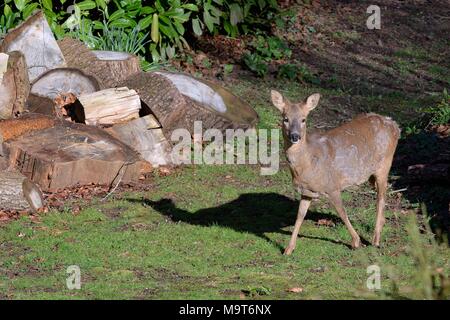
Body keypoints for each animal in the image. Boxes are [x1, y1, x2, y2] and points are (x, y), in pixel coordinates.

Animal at [270, 90, 400, 255]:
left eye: (304, 119)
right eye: (285, 119)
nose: (295, 136)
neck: (308, 163)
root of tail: (395, 125)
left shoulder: (333, 186)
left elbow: (342, 212)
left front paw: (356, 242)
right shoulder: (306, 191)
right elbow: (299, 216)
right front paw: (288, 249)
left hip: (384, 165)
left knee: (381, 198)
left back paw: (375, 240)